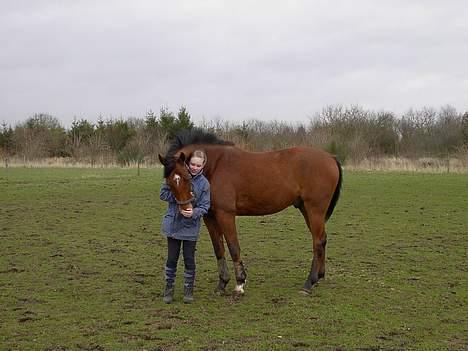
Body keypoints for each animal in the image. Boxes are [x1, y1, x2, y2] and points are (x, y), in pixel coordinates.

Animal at [159, 129, 342, 294]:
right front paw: (222, 284)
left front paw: (240, 282)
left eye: (187, 177)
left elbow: (233, 246)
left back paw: (309, 283)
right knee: (322, 239)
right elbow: (218, 248)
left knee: (318, 241)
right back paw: (319, 276)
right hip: (306, 209)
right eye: (168, 181)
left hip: (314, 209)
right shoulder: (209, 217)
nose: (186, 210)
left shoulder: (226, 214)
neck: (216, 165)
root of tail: (331, 157)